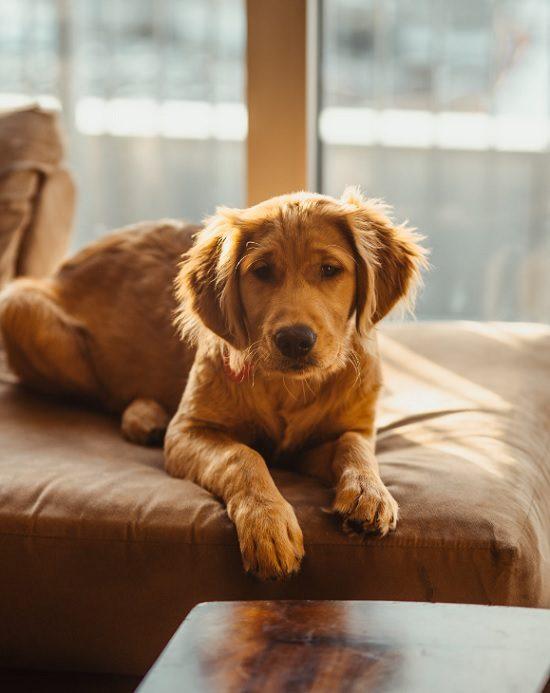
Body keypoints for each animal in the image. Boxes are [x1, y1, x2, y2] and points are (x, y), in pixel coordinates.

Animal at [0, 188, 426, 580]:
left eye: (330, 269)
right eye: (262, 271)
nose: (294, 341)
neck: (286, 387)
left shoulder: (332, 435)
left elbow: (355, 447)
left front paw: (370, 494)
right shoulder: (189, 431)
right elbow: (242, 457)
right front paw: (268, 525)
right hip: (22, 309)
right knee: (103, 396)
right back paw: (145, 416)